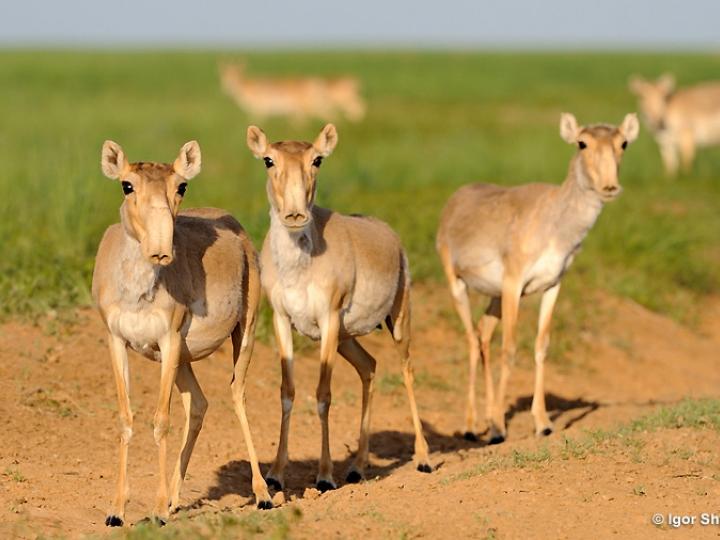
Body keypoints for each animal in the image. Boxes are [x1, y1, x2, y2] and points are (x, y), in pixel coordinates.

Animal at [93, 141, 272, 524]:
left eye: (181, 186)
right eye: (127, 185)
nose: (161, 250)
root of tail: (234, 224)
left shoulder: (170, 338)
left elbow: (161, 420)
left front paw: (159, 510)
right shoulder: (117, 342)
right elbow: (126, 418)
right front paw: (116, 511)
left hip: (243, 332)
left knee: (237, 394)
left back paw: (263, 494)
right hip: (182, 361)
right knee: (199, 403)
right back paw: (177, 498)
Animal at [245, 124, 430, 492]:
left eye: (317, 159)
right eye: (268, 160)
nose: (295, 215)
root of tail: (389, 234)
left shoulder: (328, 320)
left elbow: (323, 394)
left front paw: (325, 476)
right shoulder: (283, 320)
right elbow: (287, 392)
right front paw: (275, 475)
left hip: (398, 321)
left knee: (407, 370)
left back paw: (423, 458)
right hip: (347, 339)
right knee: (369, 366)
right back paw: (357, 467)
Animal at [436, 113, 640, 442]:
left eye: (623, 143)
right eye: (582, 143)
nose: (610, 186)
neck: (555, 222)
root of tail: (455, 199)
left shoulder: (552, 285)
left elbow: (541, 346)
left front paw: (542, 423)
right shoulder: (513, 283)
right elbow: (510, 349)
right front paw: (498, 428)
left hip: (494, 297)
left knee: (483, 333)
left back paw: (486, 415)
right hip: (458, 284)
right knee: (470, 338)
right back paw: (471, 426)